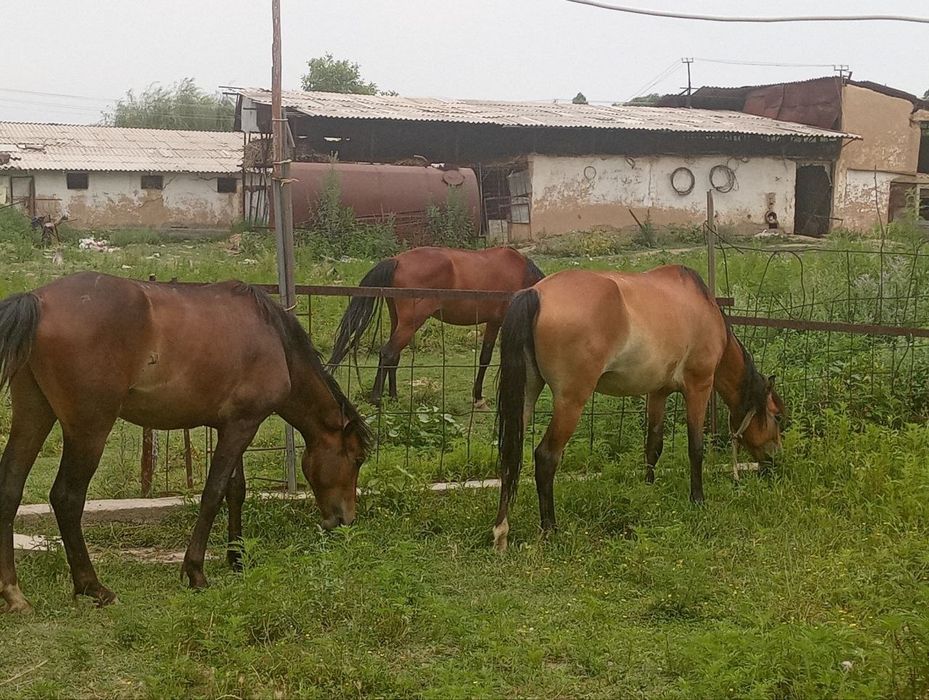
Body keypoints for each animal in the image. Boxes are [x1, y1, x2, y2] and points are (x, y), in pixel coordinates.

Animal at [0, 272, 372, 612]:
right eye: (356, 458)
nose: (346, 521)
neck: (273, 339)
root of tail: (38, 300)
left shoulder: (233, 425)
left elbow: (235, 490)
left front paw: (237, 558)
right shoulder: (243, 426)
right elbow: (213, 494)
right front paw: (196, 572)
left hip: (34, 414)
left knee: (10, 488)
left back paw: (14, 594)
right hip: (89, 430)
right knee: (67, 498)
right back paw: (94, 587)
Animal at [328, 246, 545, 406]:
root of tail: (397, 260)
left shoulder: (492, 322)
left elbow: (484, 356)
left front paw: (477, 396)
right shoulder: (497, 322)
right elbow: (487, 358)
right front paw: (478, 397)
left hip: (398, 321)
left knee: (394, 356)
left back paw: (394, 396)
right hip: (411, 323)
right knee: (388, 352)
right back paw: (376, 399)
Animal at [492, 265, 785, 550]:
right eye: (778, 417)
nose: (775, 464)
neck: (703, 308)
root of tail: (535, 293)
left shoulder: (658, 392)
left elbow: (653, 445)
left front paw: (648, 488)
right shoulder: (699, 388)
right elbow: (696, 448)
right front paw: (698, 499)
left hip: (527, 394)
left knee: (509, 455)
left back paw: (501, 533)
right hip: (571, 401)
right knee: (546, 457)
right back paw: (550, 530)